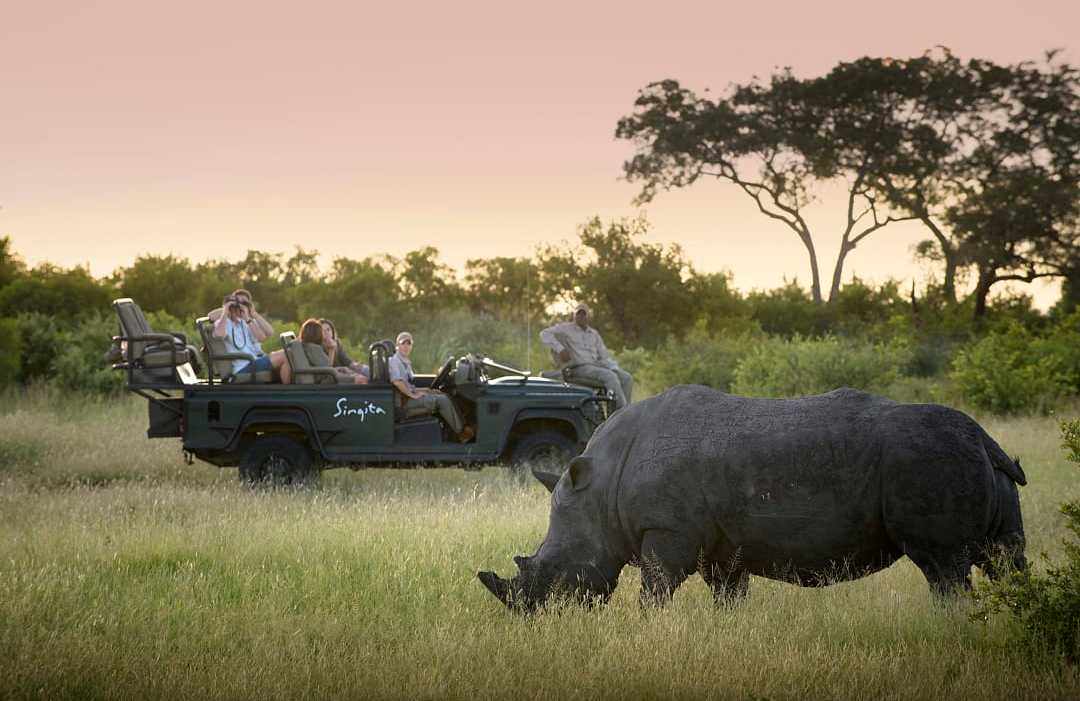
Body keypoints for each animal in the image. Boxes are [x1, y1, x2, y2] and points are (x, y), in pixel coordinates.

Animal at [478, 386, 1027, 611]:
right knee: (1004, 559)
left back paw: (950, 624)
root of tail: (983, 437)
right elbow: (728, 597)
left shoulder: (667, 531)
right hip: (975, 463)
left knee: (942, 568)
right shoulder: (723, 545)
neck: (600, 489)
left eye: (554, 572)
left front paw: (649, 627)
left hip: (928, 461)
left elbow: (656, 590)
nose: (530, 617)